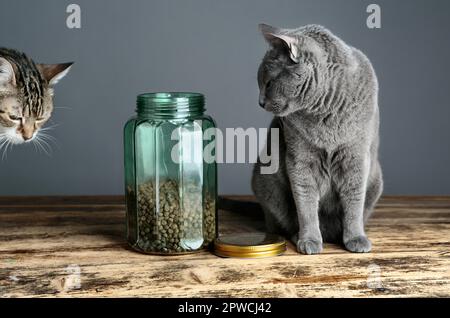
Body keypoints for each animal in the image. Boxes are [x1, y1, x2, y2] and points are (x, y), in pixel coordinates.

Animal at [251, 23, 382, 255]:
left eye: (269, 84)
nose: (260, 102)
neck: (325, 111)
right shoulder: (299, 160)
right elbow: (306, 204)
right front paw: (309, 240)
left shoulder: (356, 159)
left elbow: (354, 204)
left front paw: (356, 238)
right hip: (266, 180)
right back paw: (297, 235)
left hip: (376, 181)